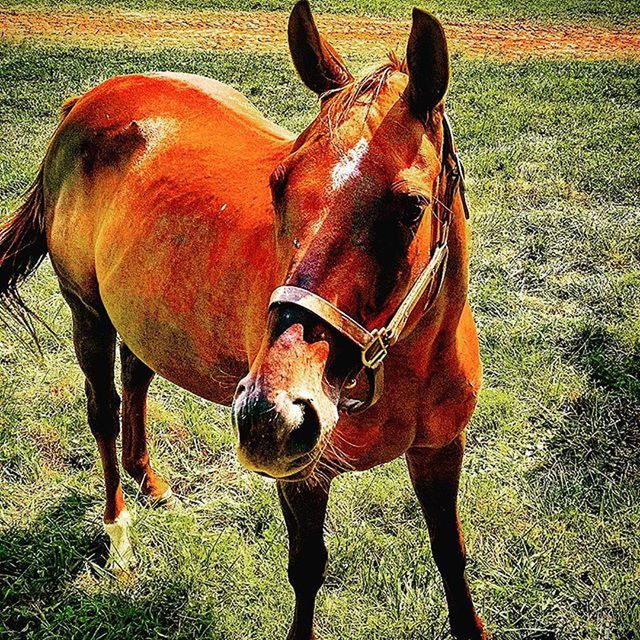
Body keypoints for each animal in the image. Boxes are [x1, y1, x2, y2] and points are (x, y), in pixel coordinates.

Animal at [0, 2, 484, 636]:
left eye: (410, 207)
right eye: (279, 184)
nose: (269, 417)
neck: (405, 368)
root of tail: (84, 102)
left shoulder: (440, 451)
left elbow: (451, 559)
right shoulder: (302, 476)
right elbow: (307, 569)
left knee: (137, 377)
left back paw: (150, 481)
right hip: (88, 313)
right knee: (103, 412)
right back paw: (119, 530)